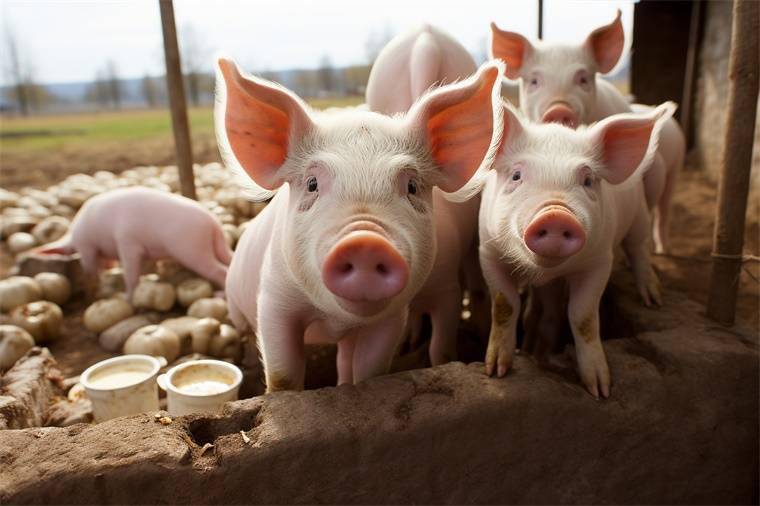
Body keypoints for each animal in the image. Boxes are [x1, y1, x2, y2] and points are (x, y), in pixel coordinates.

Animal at [36, 187, 232, 295]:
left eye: (73, 250)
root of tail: (213, 221)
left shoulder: (123, 243)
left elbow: (129, 275)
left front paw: (127, 298)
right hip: (210, 247)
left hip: (192, 250)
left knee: (221, 271)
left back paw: (220, 295)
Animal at [479, 102, 675, 398]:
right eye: (516, 175)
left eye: (588, 180)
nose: (555, 214)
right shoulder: (488, 252)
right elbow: (505, 305)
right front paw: (496, 371)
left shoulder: (599, 261)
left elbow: (582, 316)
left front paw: (600, 389)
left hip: (639, 217)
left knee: (639, 249)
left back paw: (653, 300)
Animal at [490, 10, 685, 254]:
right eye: (534, 80)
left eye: (583, 78)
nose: (559, 108)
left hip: (674, 167)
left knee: (663, 209)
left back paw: (663, 250)